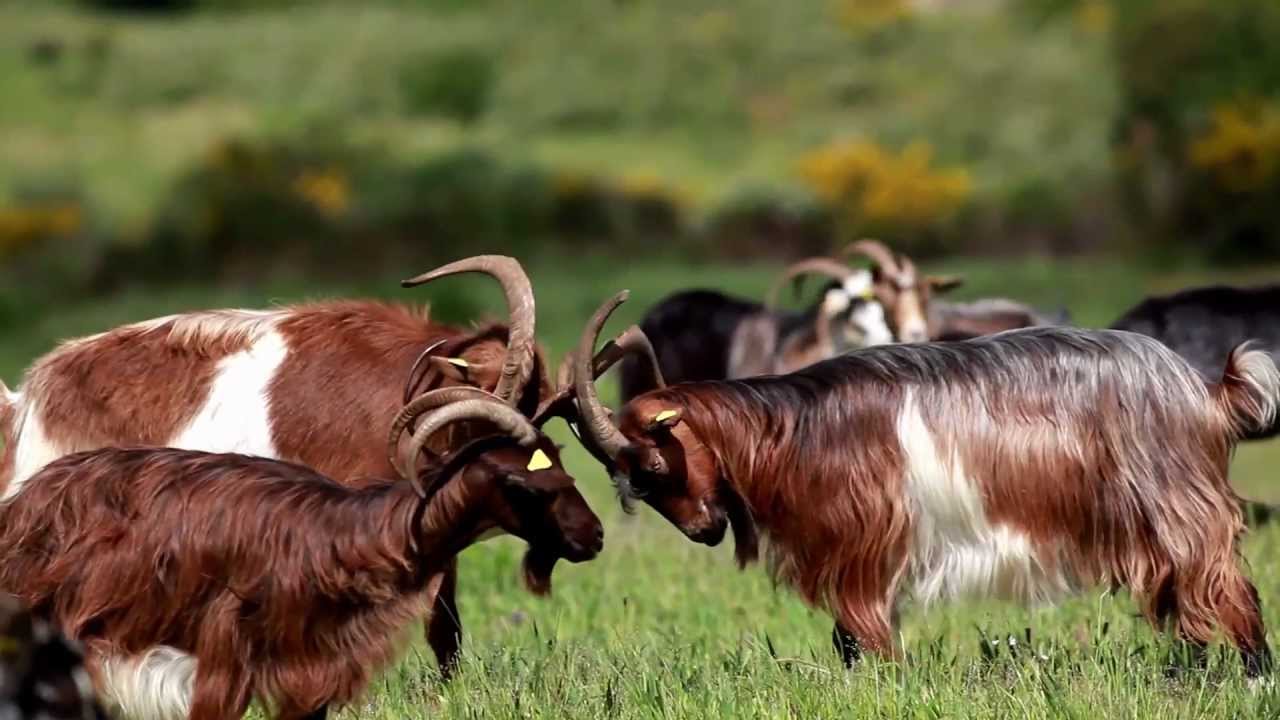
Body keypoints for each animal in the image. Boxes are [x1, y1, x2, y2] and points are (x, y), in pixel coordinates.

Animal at [0, 397, 603, 720]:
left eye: (560, 460)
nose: (593, 537)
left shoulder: (311, 678)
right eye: (519, 483)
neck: (341, 537)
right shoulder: (224, 664)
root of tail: (20, 507)